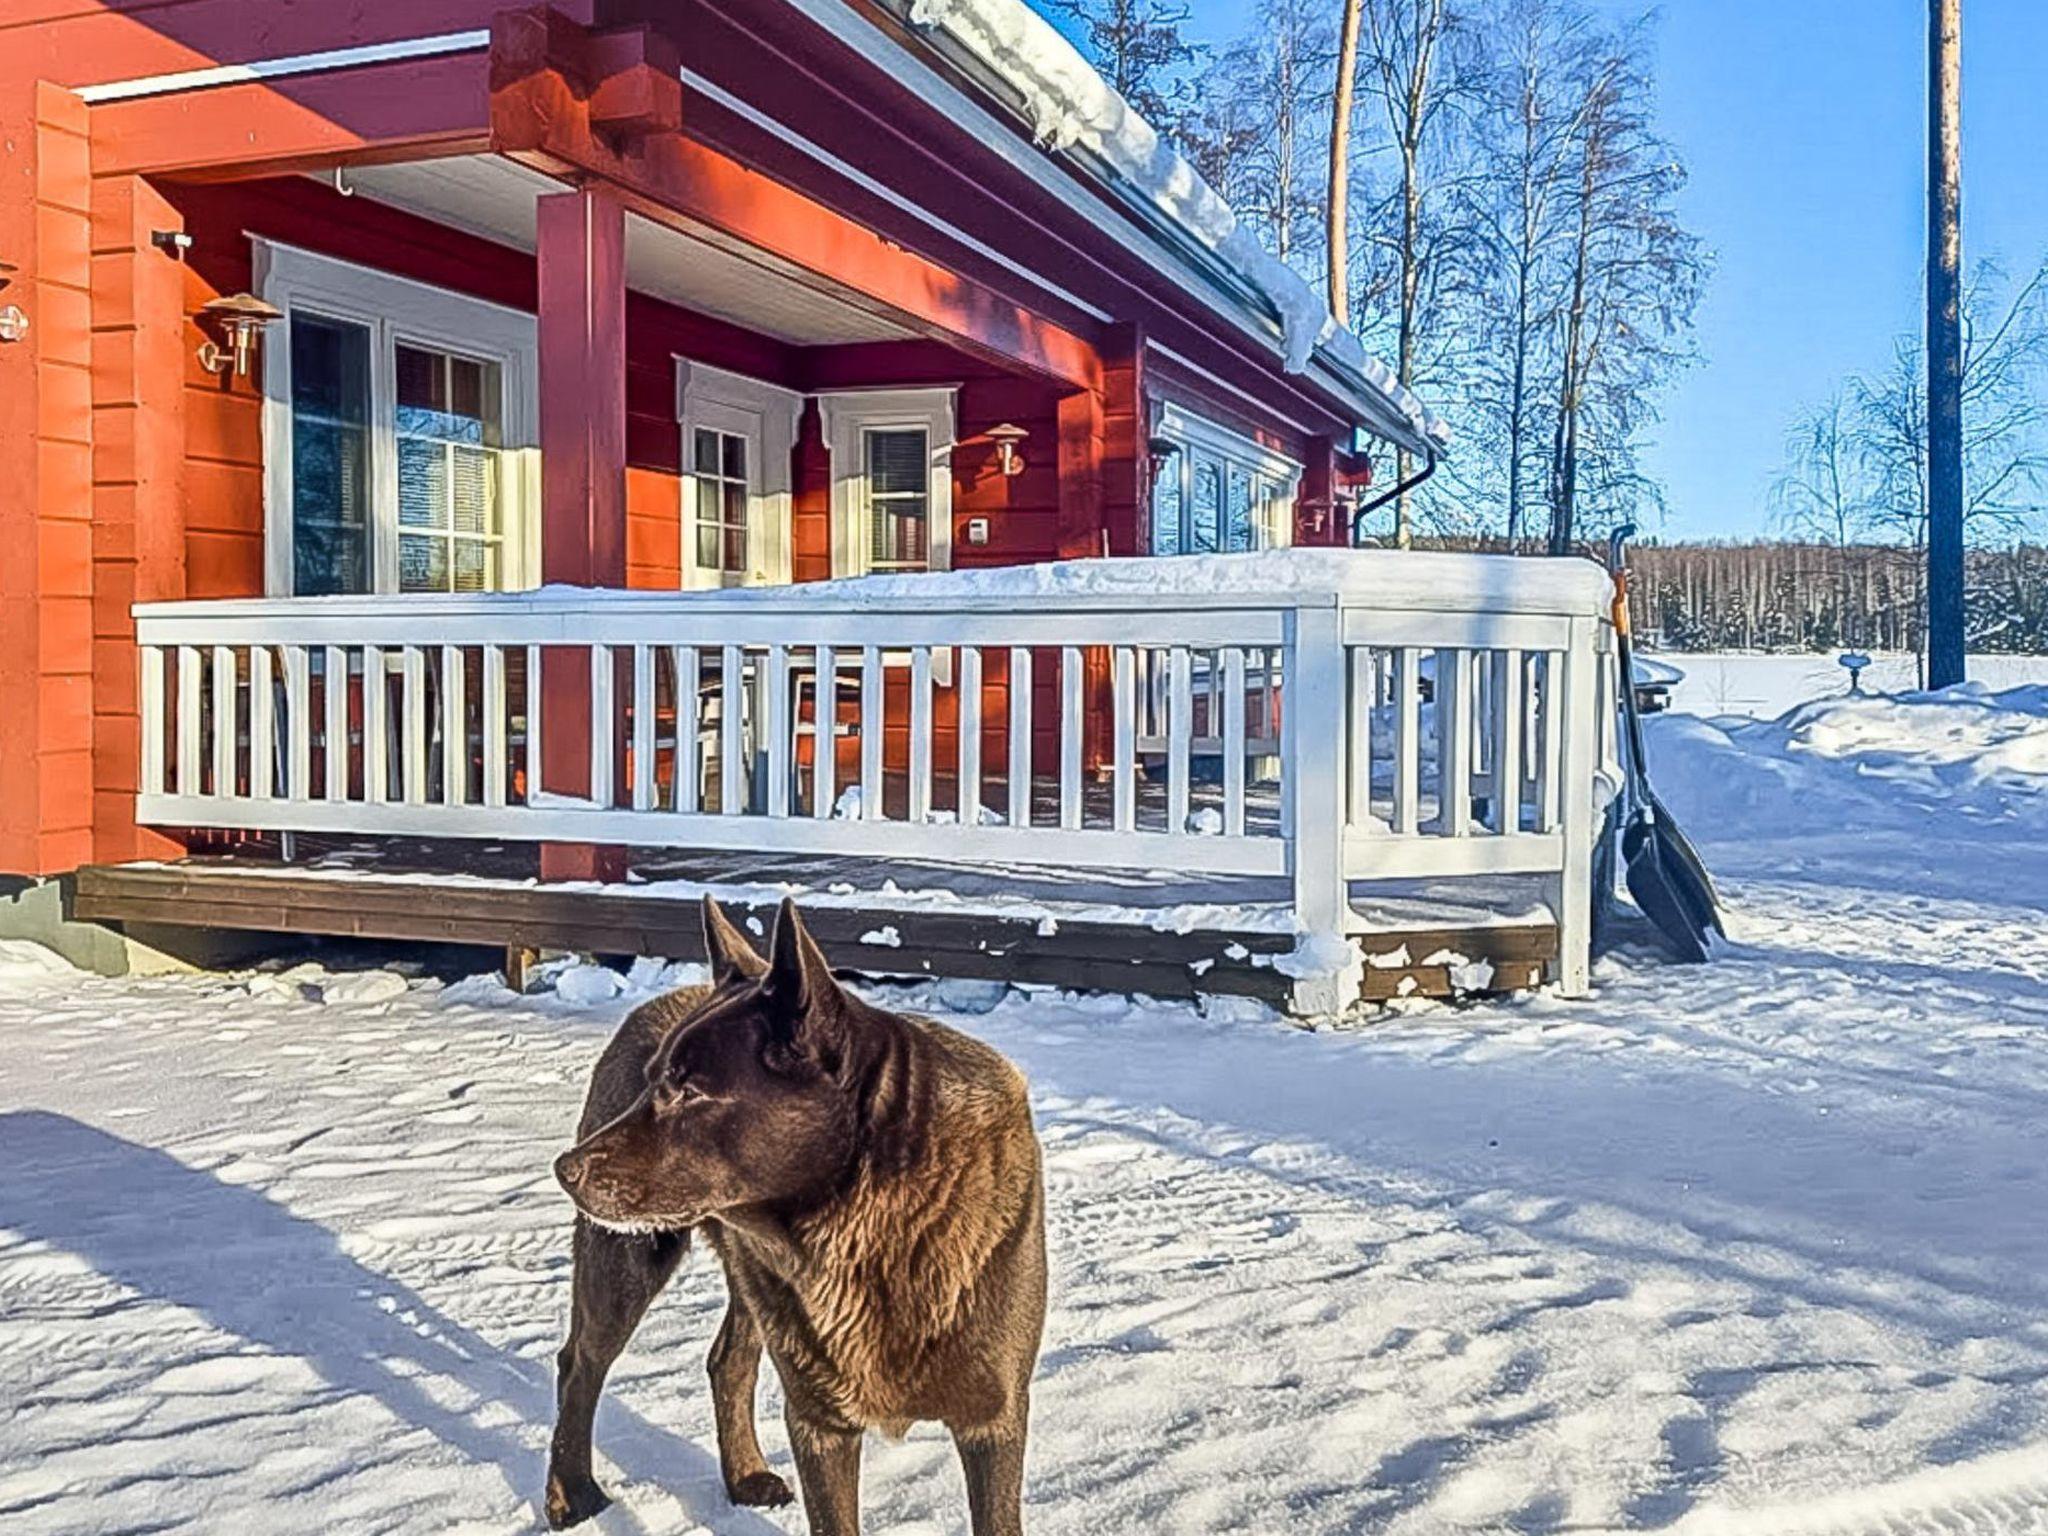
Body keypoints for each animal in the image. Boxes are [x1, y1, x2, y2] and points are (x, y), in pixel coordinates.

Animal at [548, 897, 1040, 1536]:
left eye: (689, 1090)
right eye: (654, 1081)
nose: (564, 1169)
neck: (875, 1228)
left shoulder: (994, 1416)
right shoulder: (820, 1421)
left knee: (726, 1360)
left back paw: (744, 1476)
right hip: (629, 1260)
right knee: (580, 1362)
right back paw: (572, 1496)